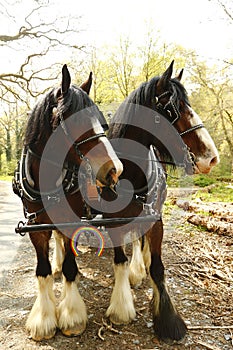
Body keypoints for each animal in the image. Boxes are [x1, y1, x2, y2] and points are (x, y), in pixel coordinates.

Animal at [12, 64, 124, 340]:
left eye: (102, 121)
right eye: (77, 122)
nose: (114, 169)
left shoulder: (72, 221)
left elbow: (71, 269)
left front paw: (72, 316)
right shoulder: (36, 227)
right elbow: (41, 271)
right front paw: (44, 319)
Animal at [101, 61, 219, 340]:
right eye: (172, 109)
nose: (211, 157)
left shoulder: (155, 220)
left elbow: (157, 267)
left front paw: (167, 320)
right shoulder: (113, 221)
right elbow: (119, 260)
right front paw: (121, 307)